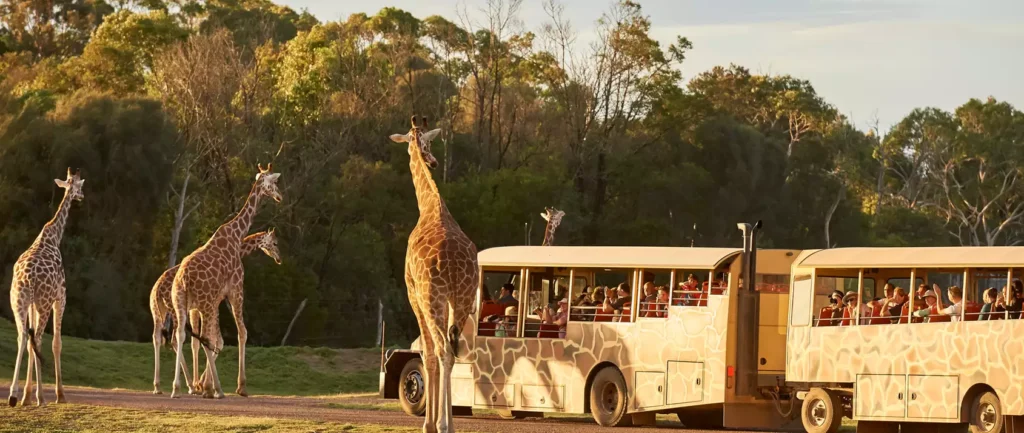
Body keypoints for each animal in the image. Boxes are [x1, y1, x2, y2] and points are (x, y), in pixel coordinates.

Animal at [7, 168, 83, 407]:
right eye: (80, 186)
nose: (81, 197)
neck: (53, 237)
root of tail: (28, 278)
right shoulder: (61, 296)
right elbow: (56, 343)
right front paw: (60, 395)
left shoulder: (32, 304)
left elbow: (30, 342)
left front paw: (27, 396)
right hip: (44, 303)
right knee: (38, 340)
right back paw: (41, 397)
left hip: (19, 302)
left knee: (23, 336)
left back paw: (14, 395)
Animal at [149, 230, 282, 397]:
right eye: (275, 243)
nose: (279, 258)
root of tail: (158, 290)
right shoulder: (213, 303)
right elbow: (216, 340)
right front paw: (204, 385)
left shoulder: (198, 308)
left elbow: (198, 342)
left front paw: (201, 384)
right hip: (174, 309)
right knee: (174, 338)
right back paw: (188, 385)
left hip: (157, 311)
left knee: (157, 338)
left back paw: (159, 386)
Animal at [168, 164, 282, 399]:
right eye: (274, 183)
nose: (280, 197)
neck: (236, 235)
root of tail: (183, 279)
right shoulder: (236, 290)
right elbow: (241, 333)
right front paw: (240, 387)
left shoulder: (217, 300)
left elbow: (215, 339)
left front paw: (204, 385)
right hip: (204, 303)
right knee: (204, 338)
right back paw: (216, 390)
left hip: (182, 303)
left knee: (182, 335)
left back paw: (178, 388)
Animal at [387, 116, 479, 433]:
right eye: (427, 144)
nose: (435, 161)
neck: (430, 206)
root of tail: (450, 265)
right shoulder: (452, 301)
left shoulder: (412, 292)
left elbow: (426, 354)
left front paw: (428, 423)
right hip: (462, 299)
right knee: (452, 351)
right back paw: (448, 423)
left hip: (432, 298)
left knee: (440, 350)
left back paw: (441, 424)